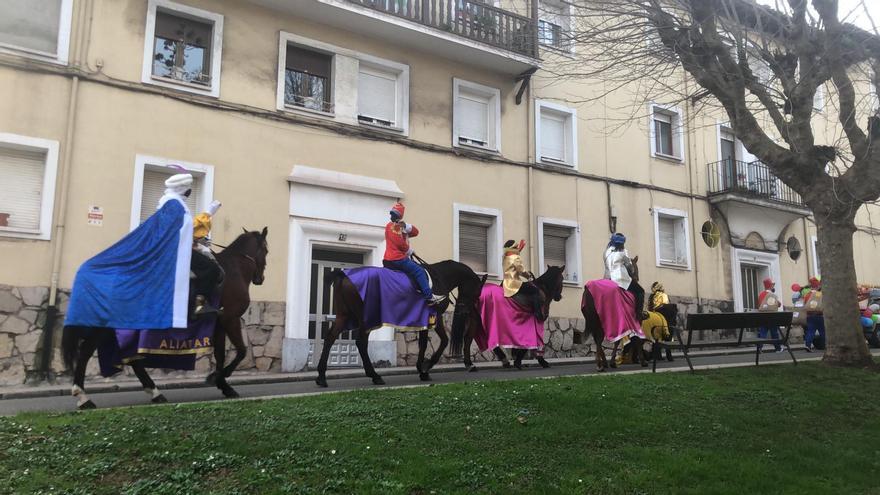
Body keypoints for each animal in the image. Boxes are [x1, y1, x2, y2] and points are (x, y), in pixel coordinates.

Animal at [62, 228, 268, 406]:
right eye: (266, 249)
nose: (260, 279)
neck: (235, 268)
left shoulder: (218, 324)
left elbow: (220, 354)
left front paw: (222, 384)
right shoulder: (230, 319)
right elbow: (241, 351)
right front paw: (218, 379)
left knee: (126, 357)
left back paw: (153, 392)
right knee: (87, 353)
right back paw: (83, 397)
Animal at [312, 260, 484, 388]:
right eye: (478, 292)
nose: (467, 311)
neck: (439, 278)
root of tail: (344, 275)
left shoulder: (426, 320)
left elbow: (424, 343)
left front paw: (422, 369)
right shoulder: (435, 316)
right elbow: (442, 341)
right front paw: (426, 367)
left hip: (343, 316)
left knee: (330, 338)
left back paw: (321, 376)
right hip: (365, 319)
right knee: (360, 342)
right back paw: (374, 375)